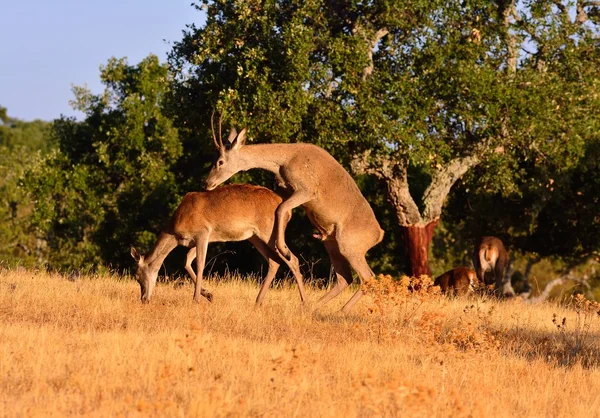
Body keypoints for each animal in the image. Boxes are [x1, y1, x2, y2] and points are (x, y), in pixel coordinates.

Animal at [129, 185, 308, 306]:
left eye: (137, 276)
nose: (143, 299)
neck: (174, 230)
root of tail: (288, 211)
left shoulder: (202, 232)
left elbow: (200, 264)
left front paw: (196, 299)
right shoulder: (199, 239)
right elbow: (186, 261)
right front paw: (208, 294)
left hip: (269, 232)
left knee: (292, 259)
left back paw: (304, 303)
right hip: (254, 237)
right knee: (274, 261)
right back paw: (258, 301)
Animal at [205, 119, 384, 312]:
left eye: (220, 161)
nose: (207, 183)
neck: (285, 159)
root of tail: (379, 235)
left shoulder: (306, 190)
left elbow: (281, 209)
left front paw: (284, 249)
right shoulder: (287, 189)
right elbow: (280, 208)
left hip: (350, 247)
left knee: (368, 277)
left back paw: (341, 310)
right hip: (332, 244)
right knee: (345, 278)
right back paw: (312, 306)